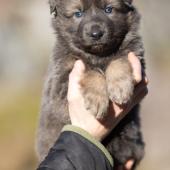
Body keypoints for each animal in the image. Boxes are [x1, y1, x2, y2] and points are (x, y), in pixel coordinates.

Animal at [36, 0, 145, 169]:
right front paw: (97, 101)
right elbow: (90, 70)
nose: (96, 34)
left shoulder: (135, 54)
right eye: (78, 13)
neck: (98, 56)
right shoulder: (61, 80)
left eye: (108, 9)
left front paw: (120, 88)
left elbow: (119, 59)